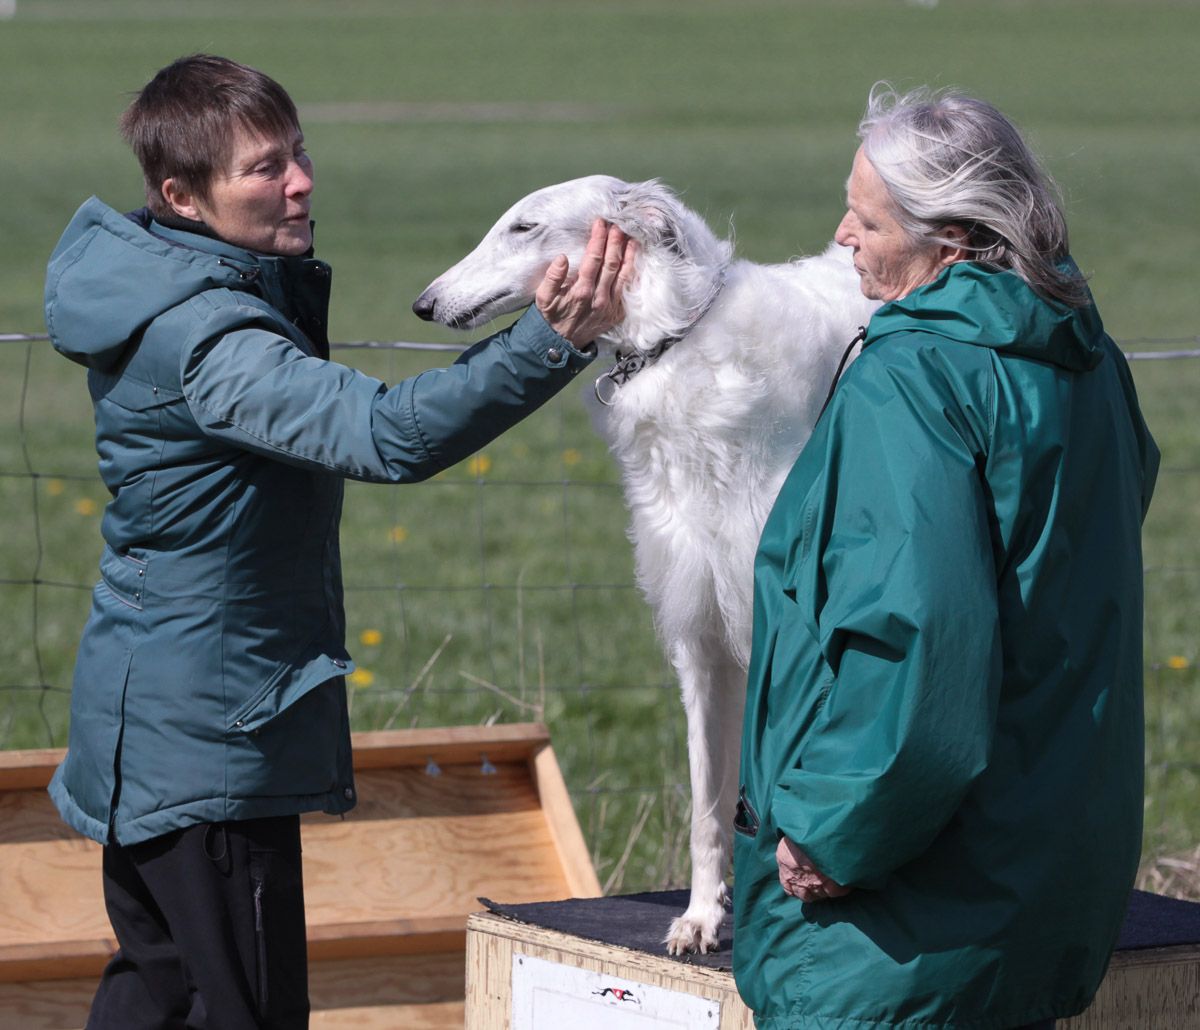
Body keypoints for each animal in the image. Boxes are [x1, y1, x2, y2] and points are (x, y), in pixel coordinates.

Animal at [417, 176, 878, 955]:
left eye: (523, 227)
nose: (426, 302)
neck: (677, 341)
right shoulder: (702, 629)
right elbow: (708, 803)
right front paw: (700, 918)